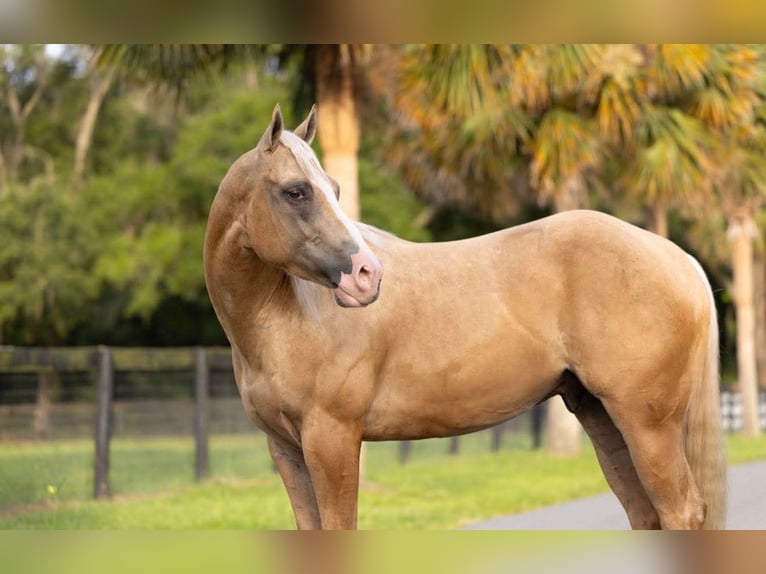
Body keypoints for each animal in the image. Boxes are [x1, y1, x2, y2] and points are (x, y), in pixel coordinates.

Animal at [203, 104, 727, 530]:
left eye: (331, 188)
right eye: (296, 191)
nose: (368, 275)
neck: (289, 319)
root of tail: (675, 256)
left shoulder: (331, 440)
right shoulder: (286, 449)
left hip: (647, 425)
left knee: (680, 511)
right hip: (603, 417)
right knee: (645, 513)